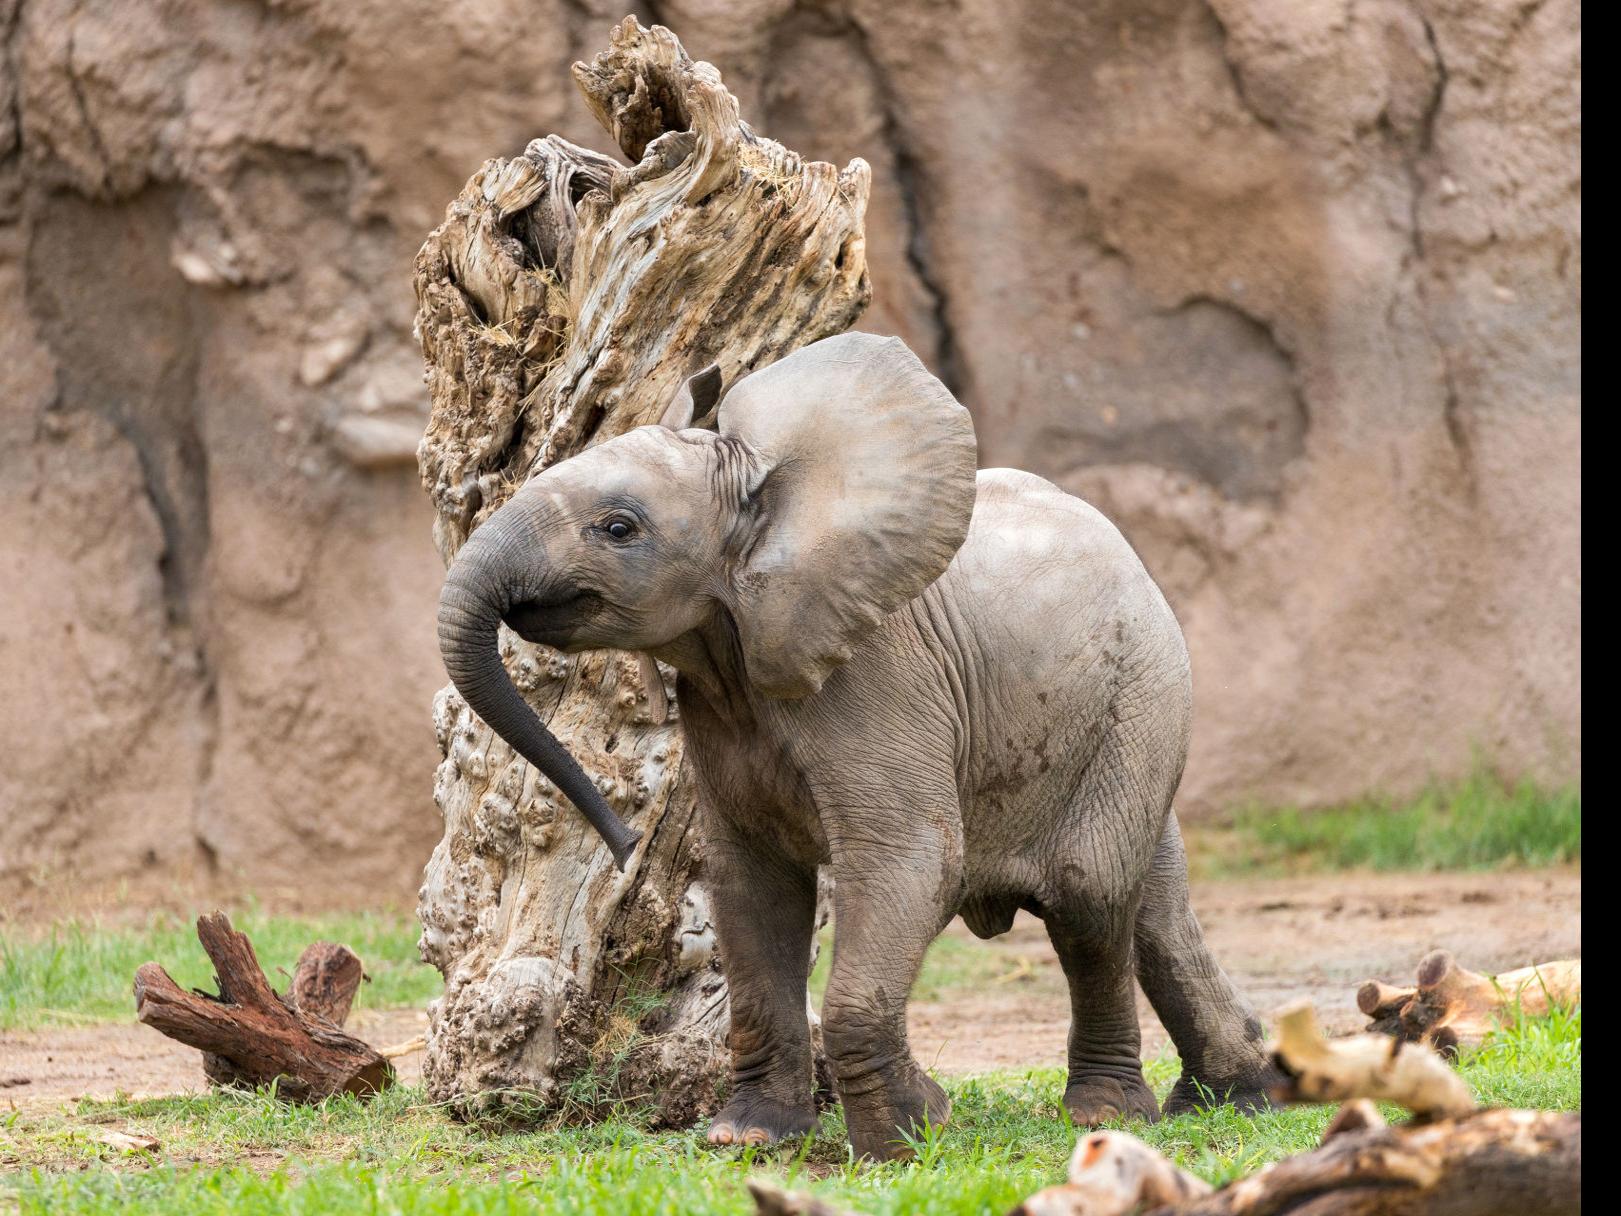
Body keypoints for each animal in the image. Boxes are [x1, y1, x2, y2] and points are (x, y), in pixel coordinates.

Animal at [437, 333, 1270, 1160]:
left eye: (618, 528)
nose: (624, 843)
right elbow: (751, 887)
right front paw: (749, 1137)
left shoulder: (879, 677)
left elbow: (913, 861)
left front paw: (907, 1137)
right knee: (1153, 903)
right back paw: (1235, 1096)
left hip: (1141, 693)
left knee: (1087, 894)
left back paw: (1108, 1115)